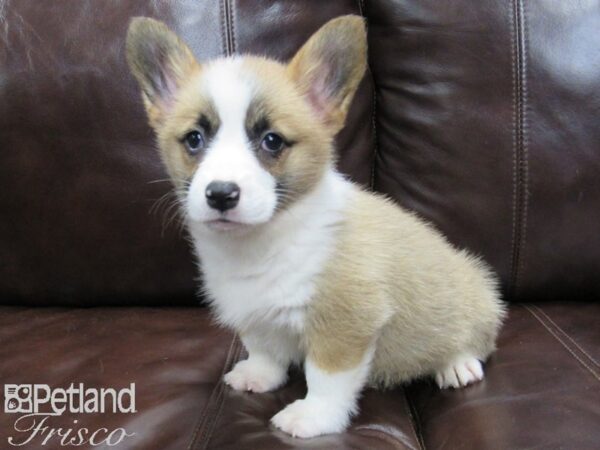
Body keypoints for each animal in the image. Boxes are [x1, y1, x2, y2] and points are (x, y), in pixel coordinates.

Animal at [126, 15, 506, 438]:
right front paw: (259, 376)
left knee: (473, 341)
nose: (221, 194)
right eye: (194, 139)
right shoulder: (255, 313)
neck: (262, 242)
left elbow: (326, 378)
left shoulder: (344, 323)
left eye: (272, 141)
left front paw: (312, 416)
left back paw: (456, 365)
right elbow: (264, 348)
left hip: (473, 297)